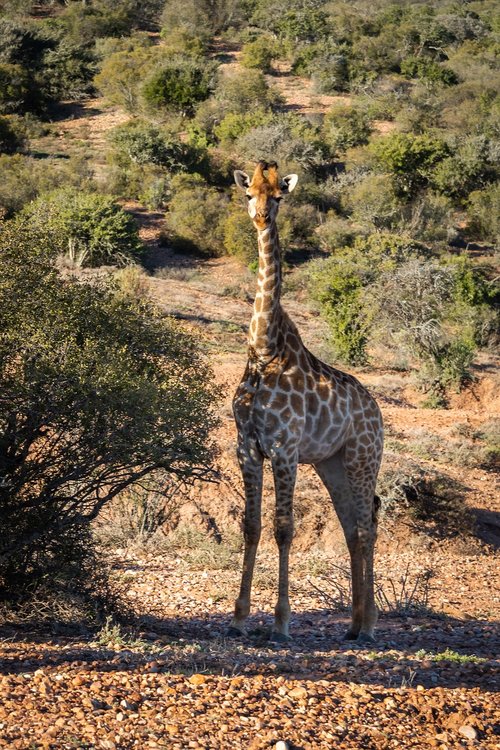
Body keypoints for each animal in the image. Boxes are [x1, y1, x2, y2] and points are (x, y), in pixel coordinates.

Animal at [229, 162, 384, 644]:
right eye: (249, 194)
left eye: (278, 196)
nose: (261, 217)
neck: (263, 350)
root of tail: (377, 411)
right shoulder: (247, 446)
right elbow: (252, 525)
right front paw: (238, 617)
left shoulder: (285, 448)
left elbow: (284, 528)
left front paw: (280, 622)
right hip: (331, 463)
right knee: (353, 526)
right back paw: (353, 623)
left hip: (362, 458)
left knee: (367, 524)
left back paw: (369, 626)